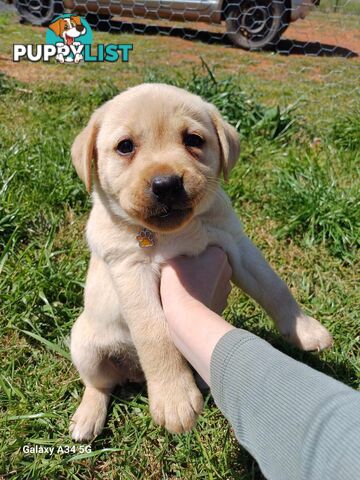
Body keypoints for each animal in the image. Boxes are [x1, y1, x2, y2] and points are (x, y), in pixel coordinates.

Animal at [69, 83, 334, 442]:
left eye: (193, 139)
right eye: (125, 146)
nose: (166, 184)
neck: (174, 232)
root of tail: (134, 374)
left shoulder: (236, 244)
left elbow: (274, 287)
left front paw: (305, 329)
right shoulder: (130, 271)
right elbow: (155, 334)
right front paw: (174, 399)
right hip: (84, 344)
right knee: (99, 385)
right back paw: (88, 417)